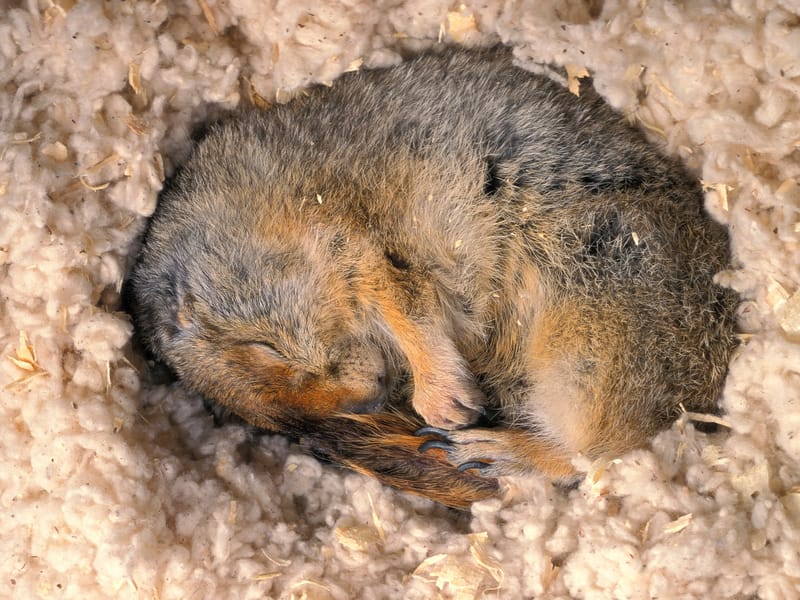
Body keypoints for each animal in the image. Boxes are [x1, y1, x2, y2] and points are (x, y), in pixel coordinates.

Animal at [128, 46, 737, 509]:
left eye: (263, 347)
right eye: (270, 415)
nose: (374, 392)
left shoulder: (347, 240)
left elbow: (403, 302)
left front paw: (445, 401)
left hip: (586, 344)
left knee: (588, 455)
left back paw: (482, 448)